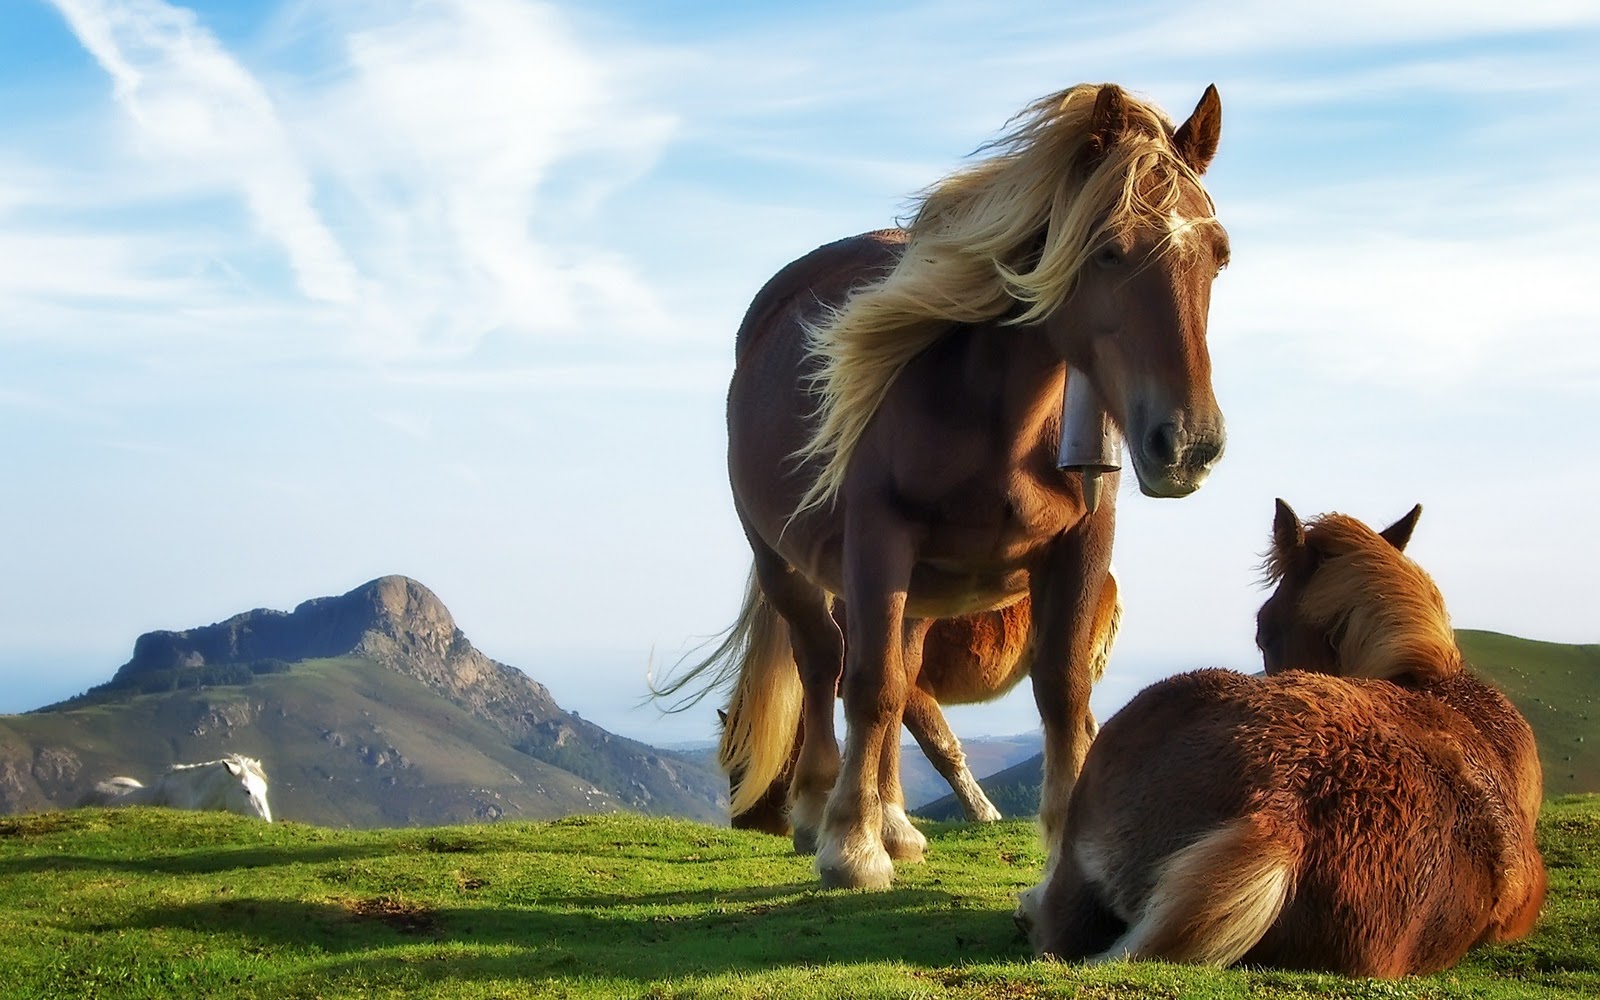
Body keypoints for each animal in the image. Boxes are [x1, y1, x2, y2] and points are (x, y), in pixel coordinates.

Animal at [662, 82, 1222, 883]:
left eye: (1218, 256)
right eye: (1109, 251)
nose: (1188, 445)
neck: (997, 418)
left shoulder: (1084, 544)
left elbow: (1062, 692)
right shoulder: (876, 543)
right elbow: (868, 686)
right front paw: (852, 848)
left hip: (924, 591)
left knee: (899, 677)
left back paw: (895, 821)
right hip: (788, 563)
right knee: (826, 662)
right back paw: (823, 812)